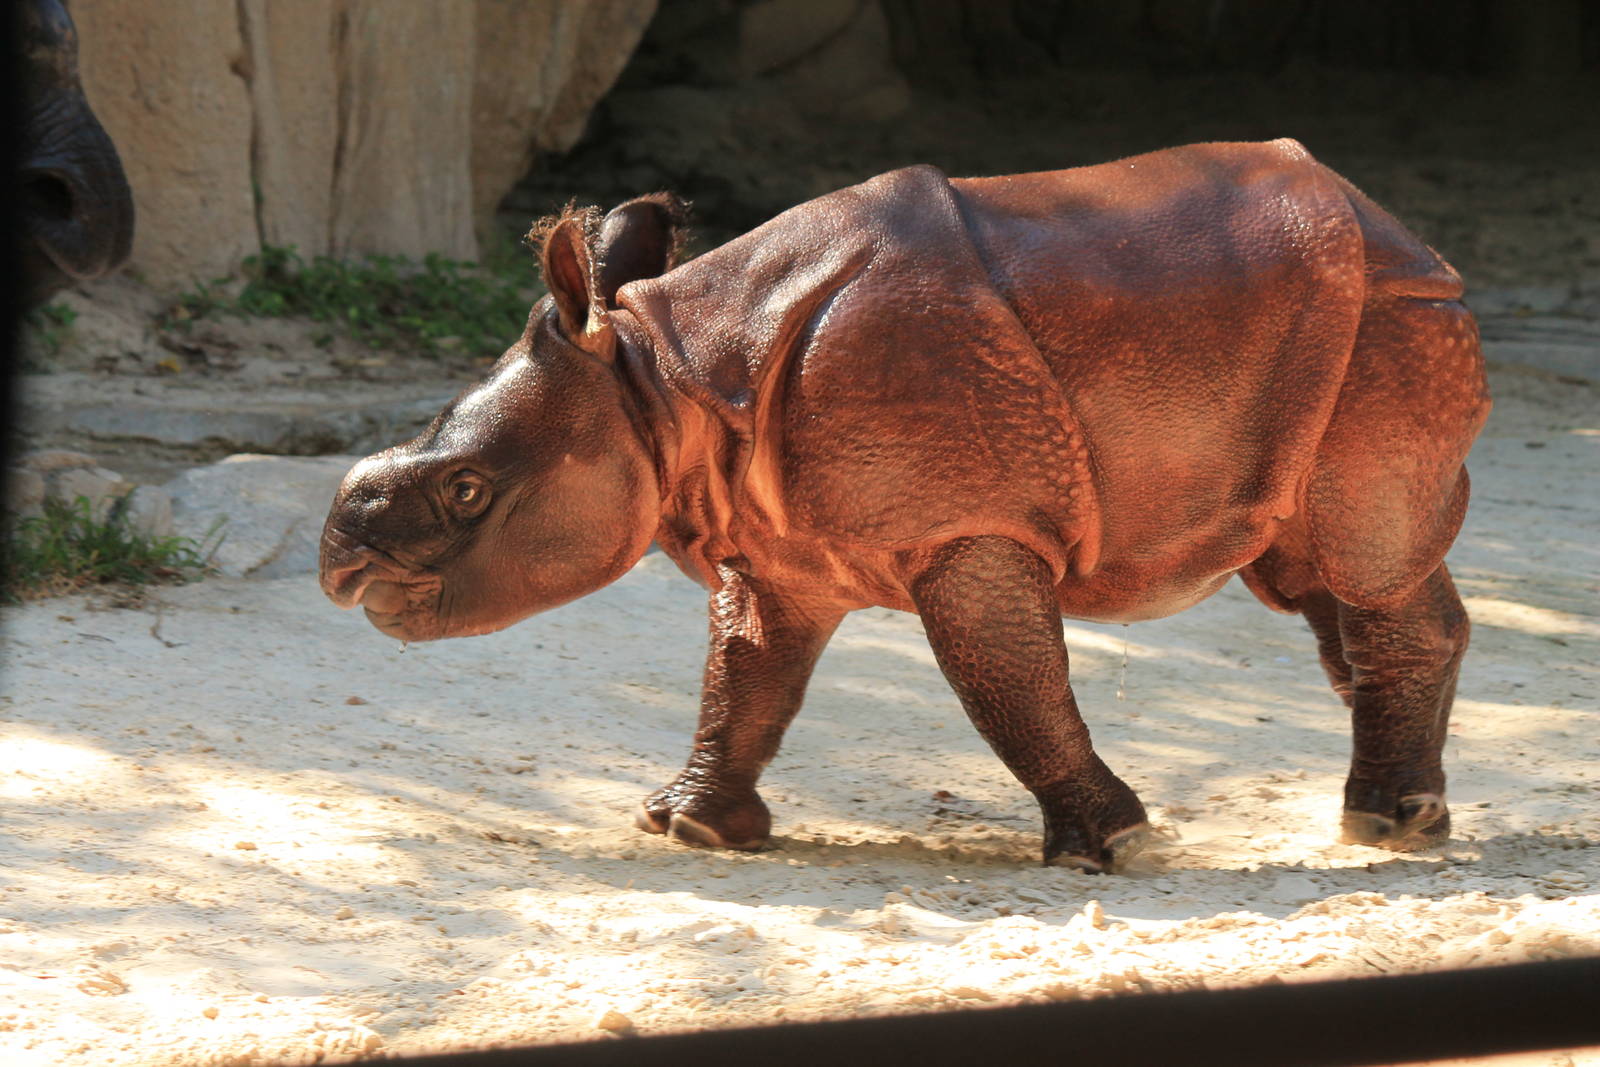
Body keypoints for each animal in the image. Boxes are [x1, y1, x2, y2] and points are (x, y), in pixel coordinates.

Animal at [320, 139, 1490, 872]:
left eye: (466, 489)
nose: (339, 562)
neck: (666, 381)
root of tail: (1410, 236)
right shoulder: (778, 541)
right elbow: (743, 674)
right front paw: (689, 829)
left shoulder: (967, 519)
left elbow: (1005, 681)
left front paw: (1117, 849)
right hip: (1346, 339)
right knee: (1325, 575)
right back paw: (1410, 820)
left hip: (1384, 326)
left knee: (1357, 558)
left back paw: (1382, 827)